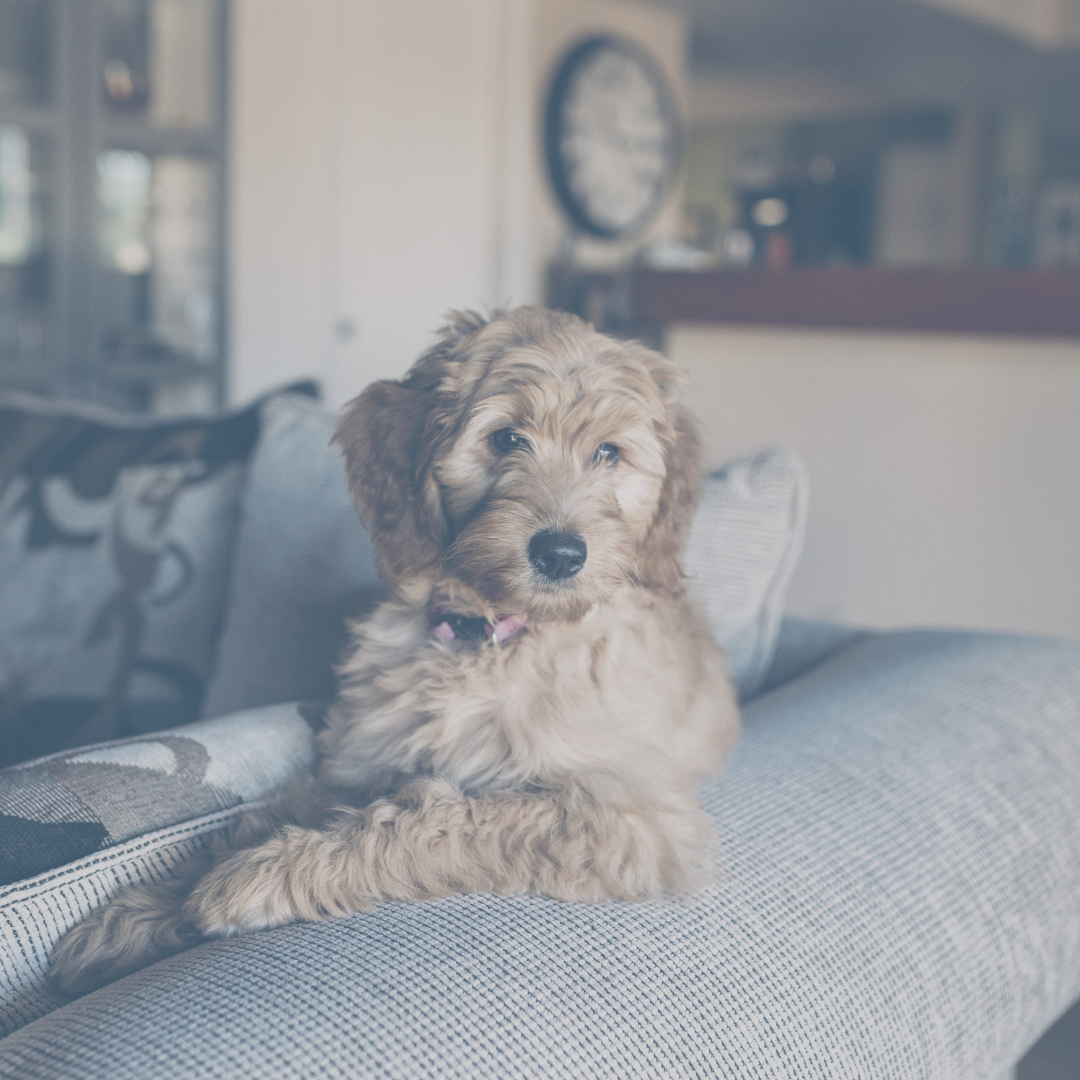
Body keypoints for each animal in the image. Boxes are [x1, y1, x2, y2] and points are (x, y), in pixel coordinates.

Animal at [50, 306, 743, 993]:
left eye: (608, 453)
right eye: (506, 439)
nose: (560, 553)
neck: (488, 638)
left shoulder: (633, 818)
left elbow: (442, 818)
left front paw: (262, 877)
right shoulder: (356, 760)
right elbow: (268, 814)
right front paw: (145, 910)